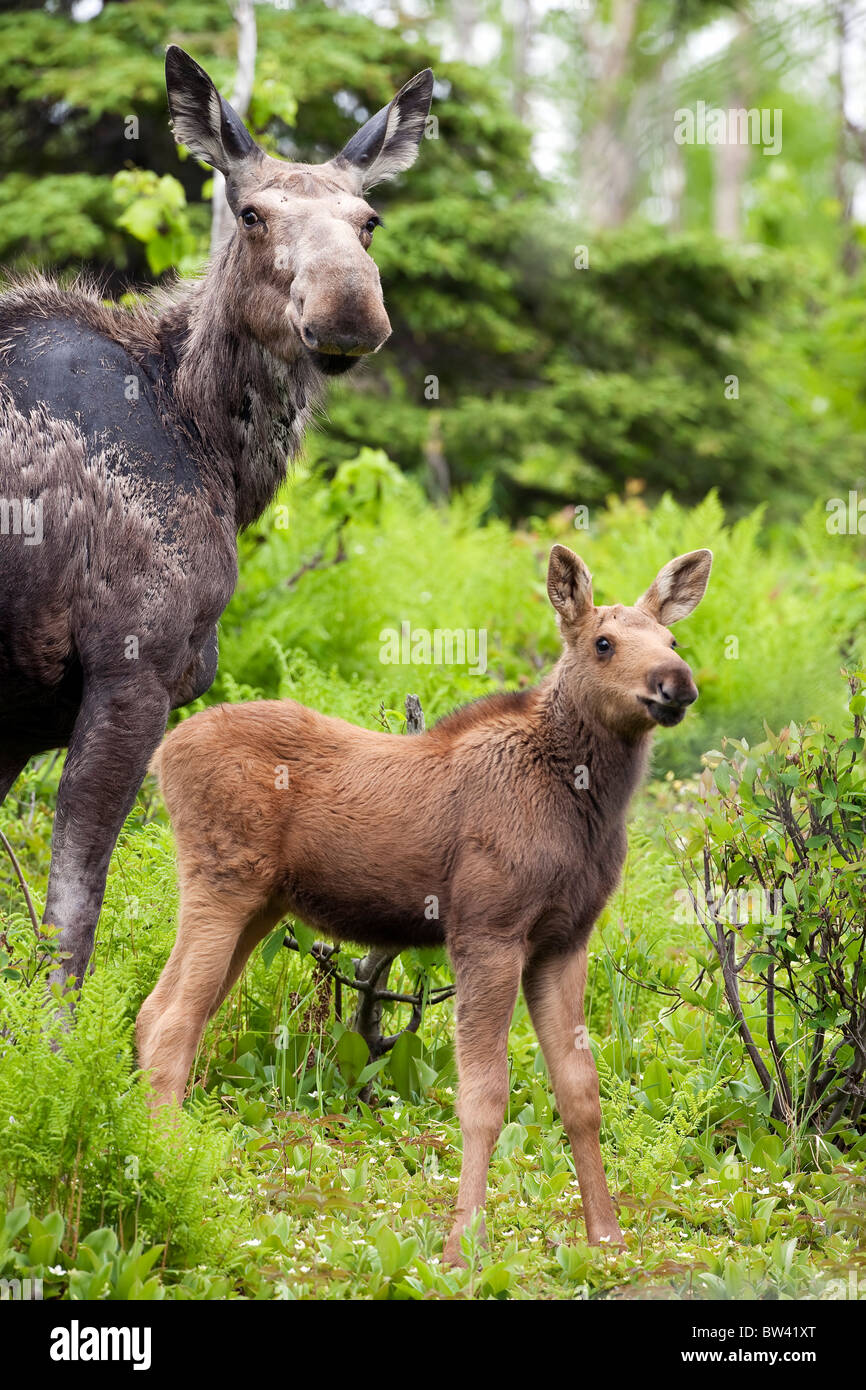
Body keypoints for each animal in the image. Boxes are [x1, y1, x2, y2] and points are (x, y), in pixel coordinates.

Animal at [0, 47, 433, 993]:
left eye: (370, 220)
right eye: (252, 212)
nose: (350, 306)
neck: (209, 443)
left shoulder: (22, 707)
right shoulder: (133, 667)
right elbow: (72, 916)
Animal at [136, 543, 712, 1263]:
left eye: (673, 640)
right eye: (603, 643)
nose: (675, 682)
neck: (585, 804)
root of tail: (163, 754)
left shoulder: (564, 938)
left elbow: (580, 1089)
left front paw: (605, 1236)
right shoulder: (486, 930)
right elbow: (483, 1095)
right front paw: (462, 1246)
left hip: (260, 903)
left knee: (155, 1010)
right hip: (222, 881)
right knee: (172, 1023)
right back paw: (169, 1183)